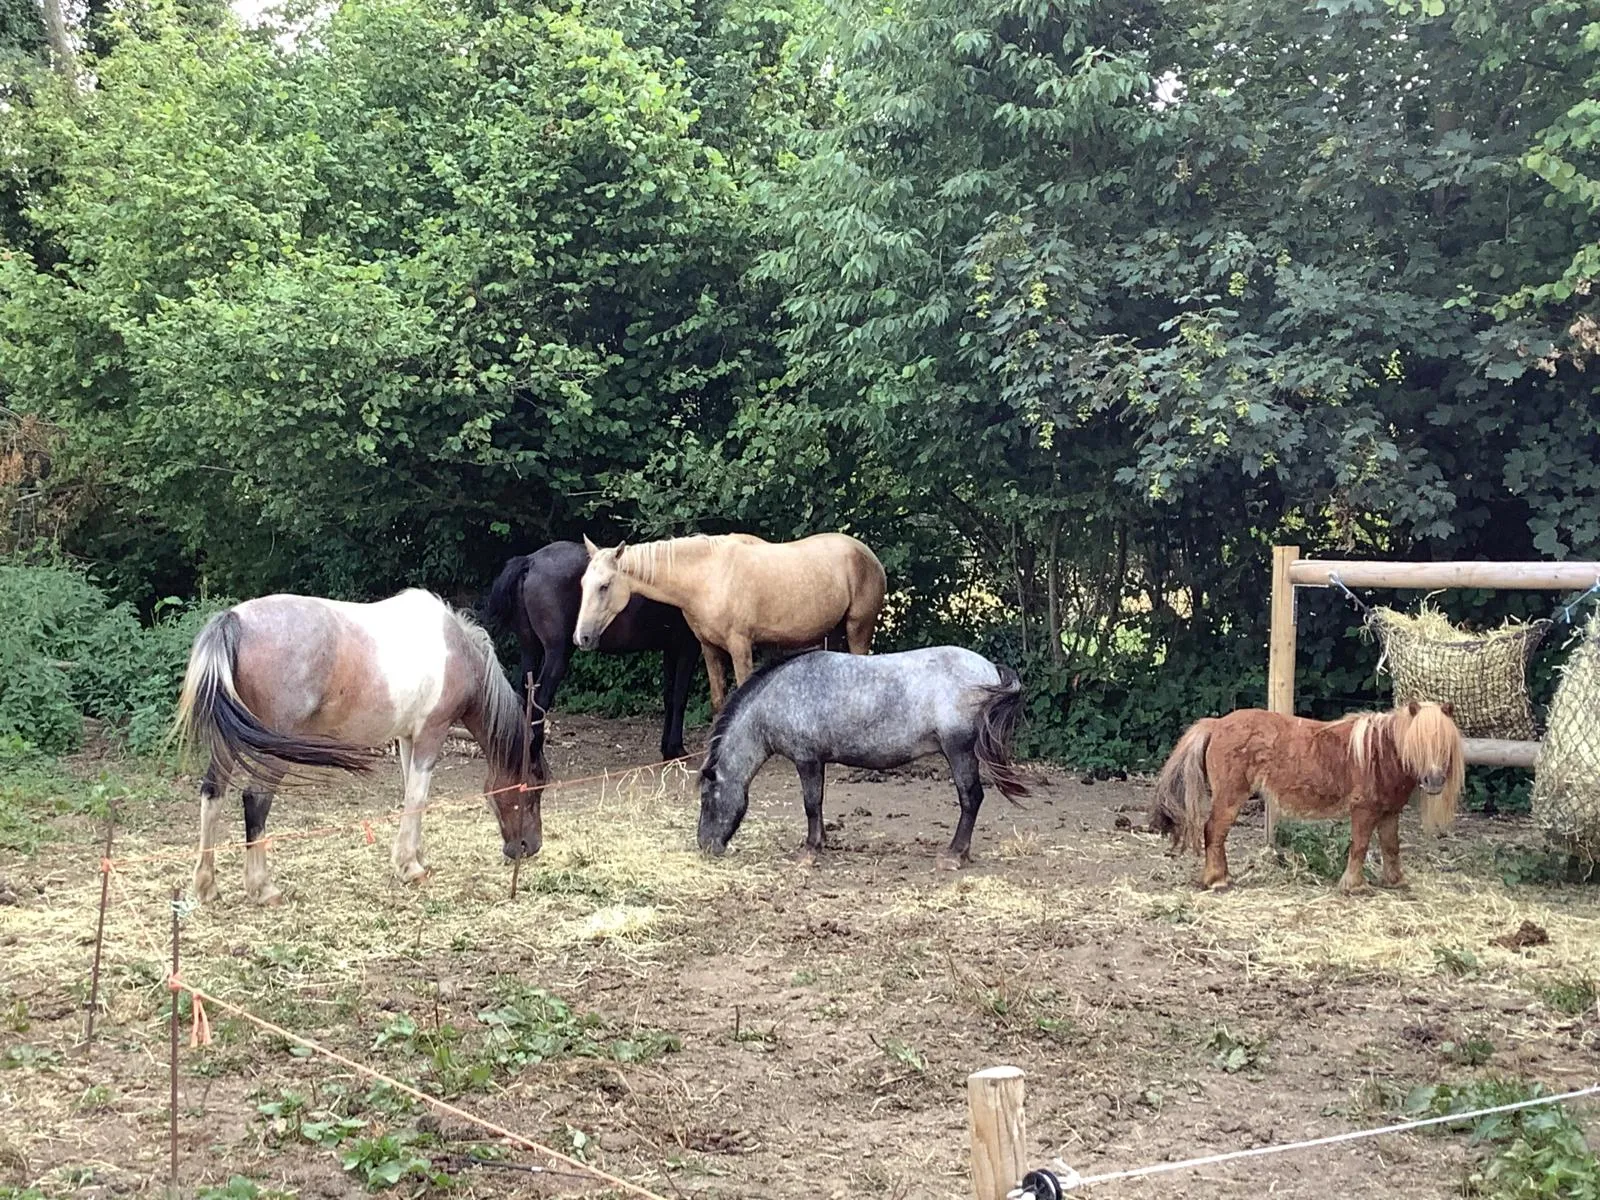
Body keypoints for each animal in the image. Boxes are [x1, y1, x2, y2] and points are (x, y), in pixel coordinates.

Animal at [174, 589, 541, 905]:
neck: (457, 652)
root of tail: (233, 620)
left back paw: (206, 887)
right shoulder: (431, 733)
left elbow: (412, 796)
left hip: (228, 744)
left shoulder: (408, 738)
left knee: (213, 793)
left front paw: (414, 857)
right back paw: (263, 888)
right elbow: (418, 796)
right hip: (271, 751)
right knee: (255, 801)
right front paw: (411, 868)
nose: (530, 847)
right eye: (533, 790)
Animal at [483, 540, 710, 762]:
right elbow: (680, 697)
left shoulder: (671, 649)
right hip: (557, 655)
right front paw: (676, 749)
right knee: (539, 701)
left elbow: (669, 697)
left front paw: (667, 750)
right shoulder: (688, 648)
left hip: (530, 650)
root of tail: (531, 561)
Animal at [574, 533, 887, 711]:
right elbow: (718, 700)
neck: (707, 575)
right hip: (833, 633)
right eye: (583, 583)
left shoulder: (740, 646)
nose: (581, 637)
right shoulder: (709, 648)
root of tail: (869, 555)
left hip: (858, 629)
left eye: (604, 586)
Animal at [695, 648, 1029, 869]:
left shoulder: (807, 760)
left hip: (959, 751)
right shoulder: (817, 762)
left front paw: (810, 850)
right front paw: (821, 843)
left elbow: (811, 804)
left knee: (971, 798)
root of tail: (990, 669)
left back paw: (954, 855)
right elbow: (817, 804)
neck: (778, 696)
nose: (705, 845)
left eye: (707, 798)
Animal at [1148, 700, 1464, 894]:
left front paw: (1396, 882)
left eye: (1445, 745)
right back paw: (1217, 880)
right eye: (1419, 744)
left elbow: (1391, 847)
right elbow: (1360, 846)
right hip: (1230, 797)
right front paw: (1354, 886)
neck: (1379, 752)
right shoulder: (1364, 811)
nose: (1434, 781)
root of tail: (1215, 724)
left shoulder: (1389, 813)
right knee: (1214, 832)